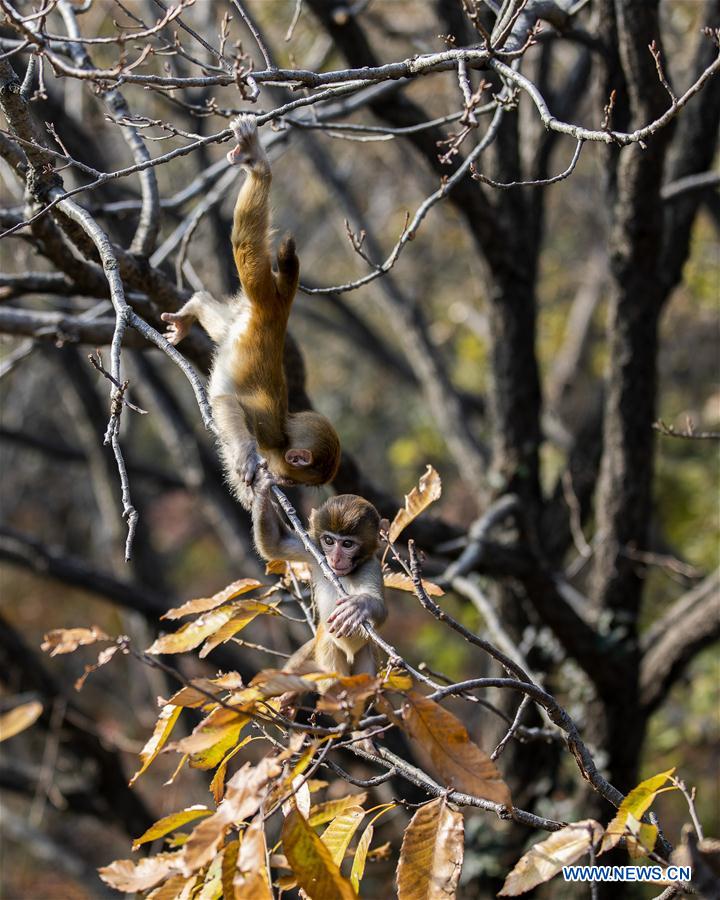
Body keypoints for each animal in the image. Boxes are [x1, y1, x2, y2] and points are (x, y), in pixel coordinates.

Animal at [161, 115, 341, 506]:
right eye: (299, 480)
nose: (288, 483)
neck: (284, 432)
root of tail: (281, 307)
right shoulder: (266, 427)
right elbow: (228, 404)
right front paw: (246, 456)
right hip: (262, 289)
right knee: (245, 242)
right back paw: (257, 165)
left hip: (248, 311)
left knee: (221, 325)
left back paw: (193, 307)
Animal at [252, 483, 388, 678]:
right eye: (329, 541)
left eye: (347, 544)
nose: (335, 559)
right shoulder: (312, 550)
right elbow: (275, 543)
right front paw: (262, 487)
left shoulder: (371, 567)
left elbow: (379, 606)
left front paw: (360, 605)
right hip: (326, 642)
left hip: (366, 650)